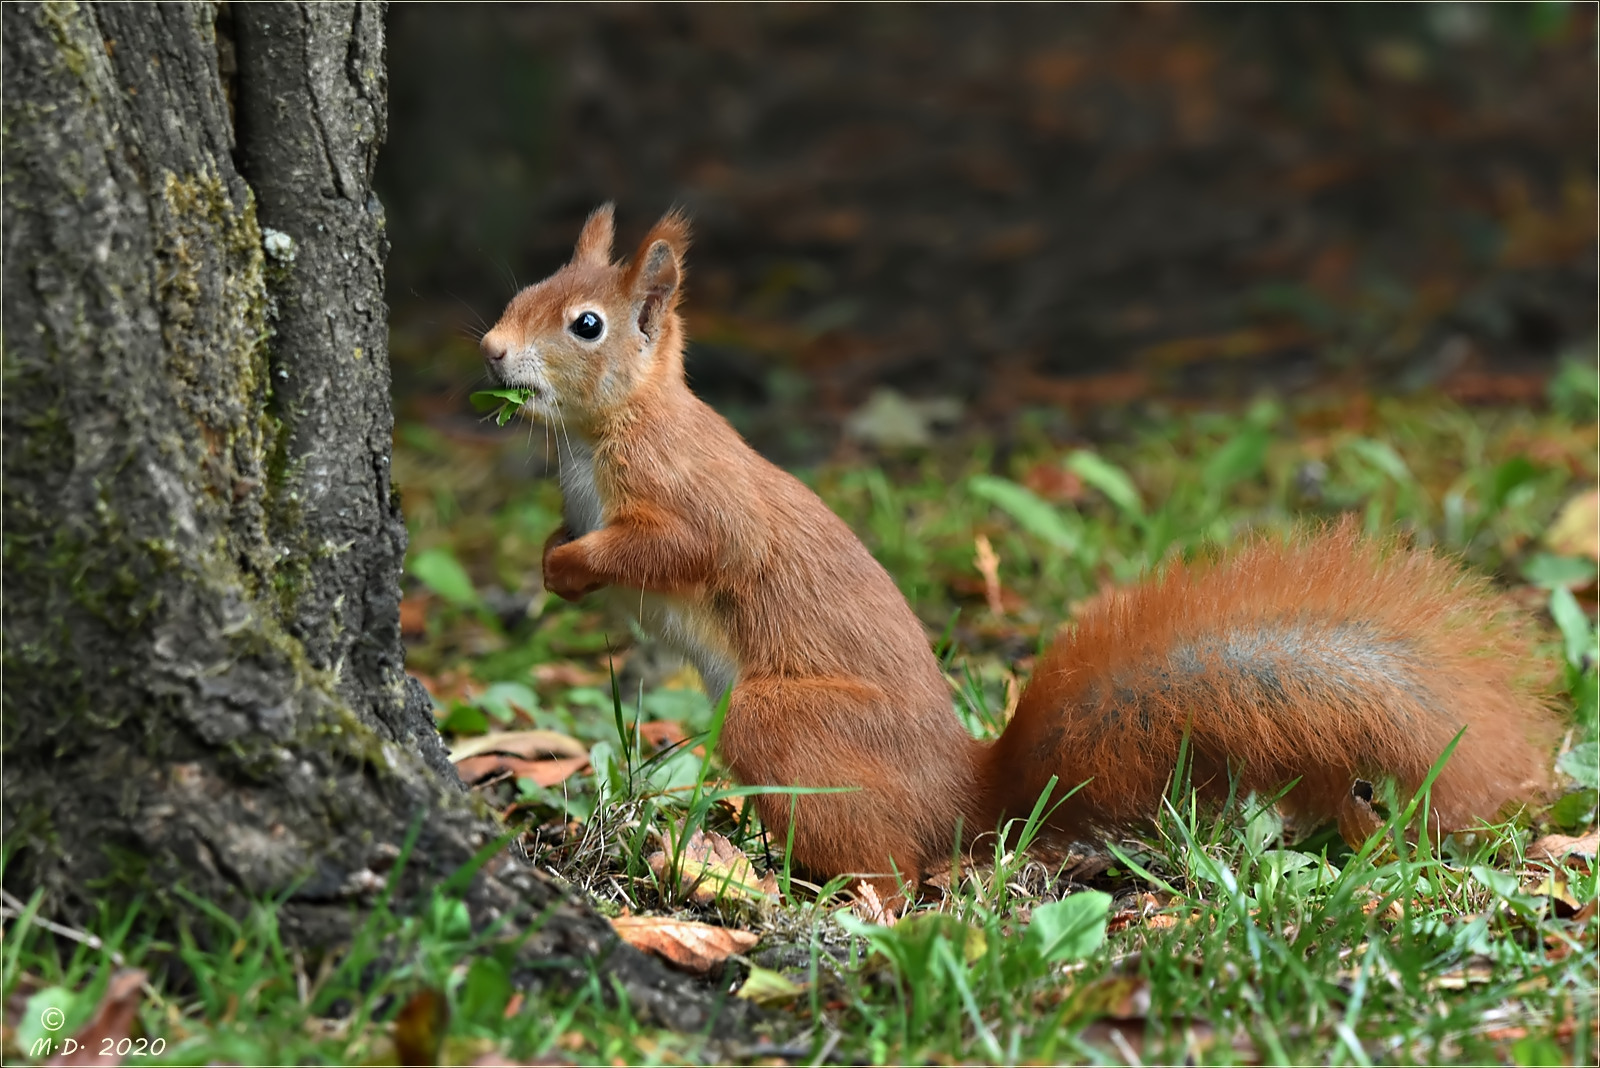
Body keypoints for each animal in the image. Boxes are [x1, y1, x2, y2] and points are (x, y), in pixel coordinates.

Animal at [476, 206, 1561, 895]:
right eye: (525, 288)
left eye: (585, 324)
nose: (488, 349)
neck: (603, 431)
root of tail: (968, 794)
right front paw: (549, 559)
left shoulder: (691, 501)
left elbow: (676, 550)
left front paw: (569, 568)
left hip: (780, 723)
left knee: (893, 867)